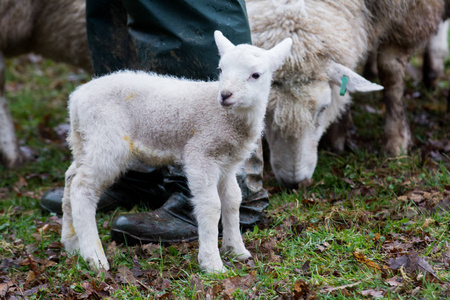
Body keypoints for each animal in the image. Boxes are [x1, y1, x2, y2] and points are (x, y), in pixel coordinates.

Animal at [60, 31, 292, 274]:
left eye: (255, 75)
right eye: (221, 69)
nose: (225, 95)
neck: (228, 117)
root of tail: (76, 99)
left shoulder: (227, 164)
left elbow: (233, 200)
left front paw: (236, 249)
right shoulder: (201, 154)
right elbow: (211, 205)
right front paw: (212, 264)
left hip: (85, 140)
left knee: (71, 178)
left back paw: (72, 243)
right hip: (107, 140)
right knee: (82, 188)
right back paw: (94, 257)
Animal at [248, 0, 448, 188]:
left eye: (324, 108)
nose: (294, 183)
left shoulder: (409, 15)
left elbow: (390, 68)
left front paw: (396, 143)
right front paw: (339, 133)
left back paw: (433, 69)